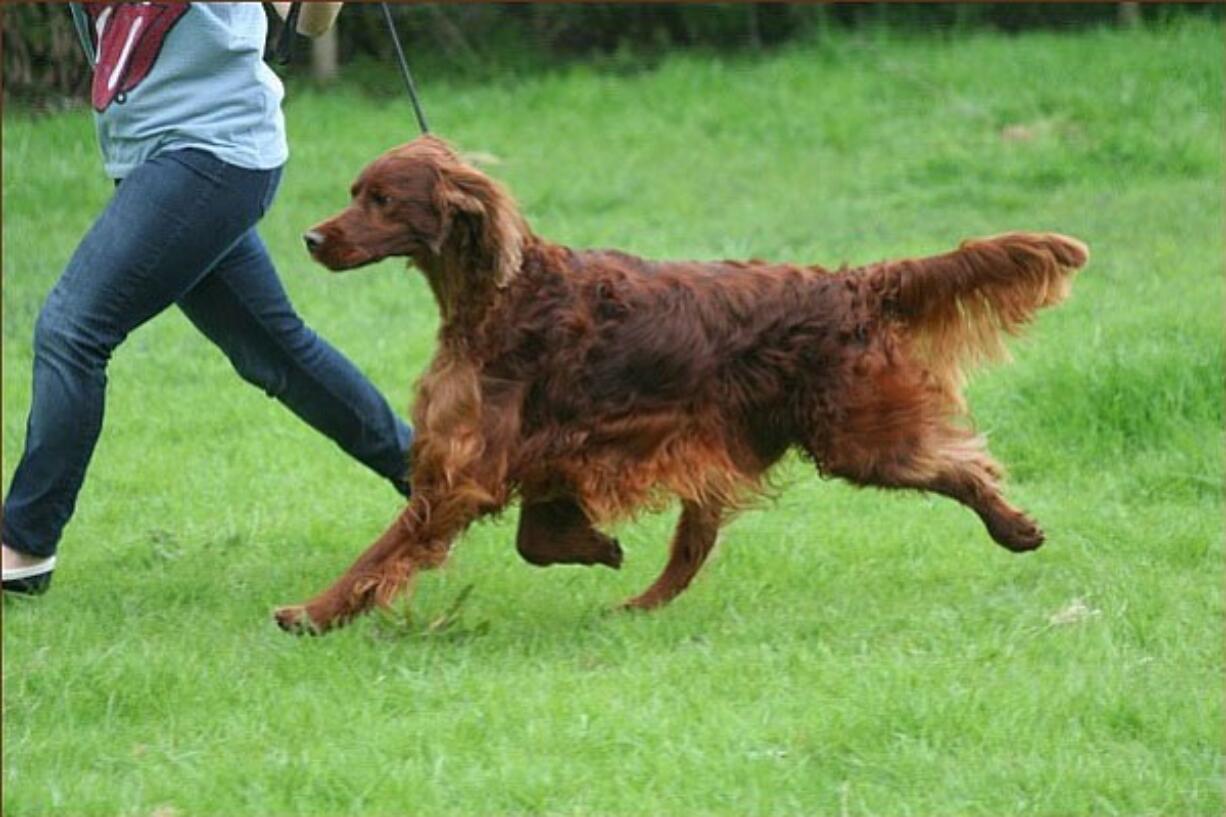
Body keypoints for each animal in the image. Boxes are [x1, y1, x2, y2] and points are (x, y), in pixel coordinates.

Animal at [275, 133, 1083, 632]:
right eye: (354, 190)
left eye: (382, 199)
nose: (312, 239)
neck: (501, 294)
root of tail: (851, 283)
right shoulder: (547, 449)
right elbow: (535, 536)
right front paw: (594, 545)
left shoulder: (468, 468)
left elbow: (386, 550)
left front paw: (312, 613)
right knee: (693, 549)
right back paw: (638, 605)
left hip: (854, 433)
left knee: (964, 462)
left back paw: (1015, 528)